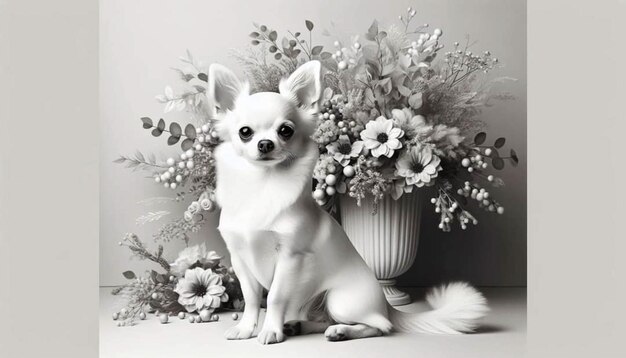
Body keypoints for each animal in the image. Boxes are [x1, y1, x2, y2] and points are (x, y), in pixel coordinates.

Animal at [207, 60, 486, 344]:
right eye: (245, 132)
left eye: (285, 131)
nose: (265, 143)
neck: (263, 184)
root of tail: (387, 305)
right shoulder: (240, 259)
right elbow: (252, 298)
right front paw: (246, 329)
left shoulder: (290, 257)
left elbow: (274, 297)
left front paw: (270, 331)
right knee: (324, 320)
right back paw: (298, 326)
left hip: (340, 300)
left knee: (380, 326)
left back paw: (341, 330)